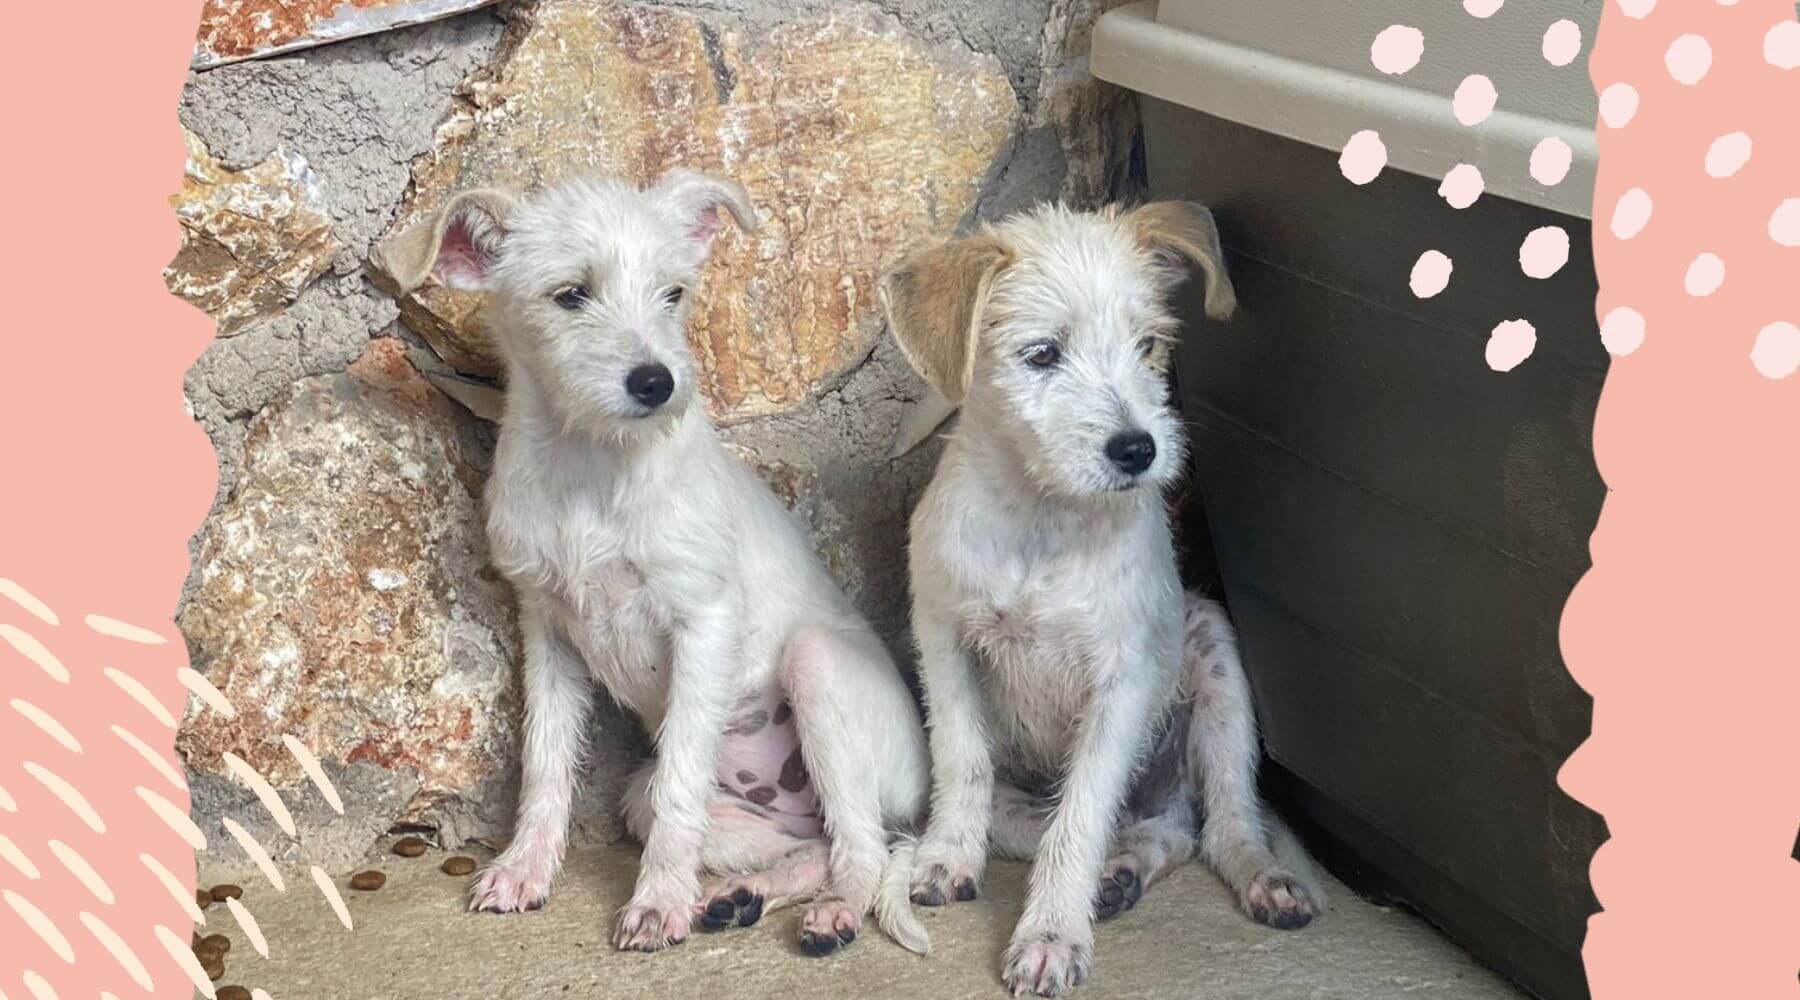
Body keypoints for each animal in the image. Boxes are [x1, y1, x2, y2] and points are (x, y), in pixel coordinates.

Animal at [378, 169, 928, 949]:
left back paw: (834, 912)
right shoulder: (547, 630)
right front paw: (525, 870)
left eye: (673, 294)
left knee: (864, 849)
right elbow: (546, 762)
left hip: (816, 666)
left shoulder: (703, 621)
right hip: (685, 804)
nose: (657, 382)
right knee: (811, 845)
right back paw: (739, 897)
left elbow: (680, 782)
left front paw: (657, 902)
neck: (592, 468)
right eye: (571, 294)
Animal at [882, 201, 1324, 992]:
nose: (1139, 450)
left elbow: (1081, 813)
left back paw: (1258, 878)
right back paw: (1117, 871)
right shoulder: (942, 638)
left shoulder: (1123, 681)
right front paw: (945, 857)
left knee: (1220, 826)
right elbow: (964, 761)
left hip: (1215, 663)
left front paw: (1051, 934)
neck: (1043, 520)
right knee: (1119, 827)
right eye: (1041, 355)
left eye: (1148, 344)